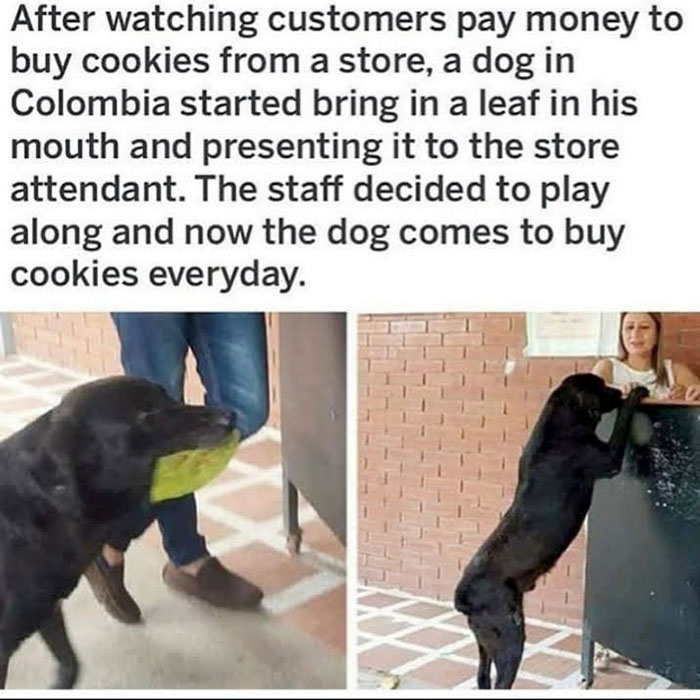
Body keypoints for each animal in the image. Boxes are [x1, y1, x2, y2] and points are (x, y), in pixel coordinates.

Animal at [454, 374, 652, 688]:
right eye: (600, 385)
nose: (617, 391)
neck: (562, 419)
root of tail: (462, 597)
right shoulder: (607, 458)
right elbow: (622, 421)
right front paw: (635, 394)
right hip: (509, 636)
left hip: (484, 640)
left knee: (482, 677)